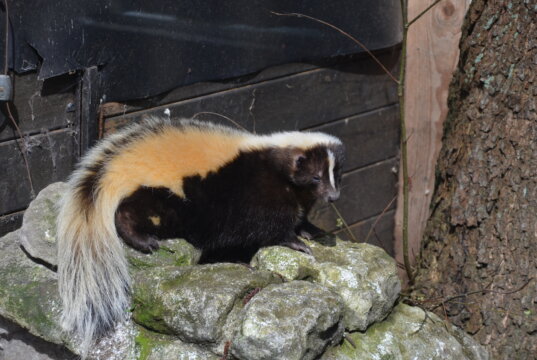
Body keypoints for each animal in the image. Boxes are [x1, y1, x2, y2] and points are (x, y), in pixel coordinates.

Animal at [57, 117, 344, 352]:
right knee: (128, 213)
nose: (333, 197)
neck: (275, 163)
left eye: (335, 175)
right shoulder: (260, 194)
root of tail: (119, 169)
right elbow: (272, 226)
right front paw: (296, 242)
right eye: (316, 177)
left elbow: (298, 219)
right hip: (164, 195)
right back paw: (144, 241)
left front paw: (311, 231)